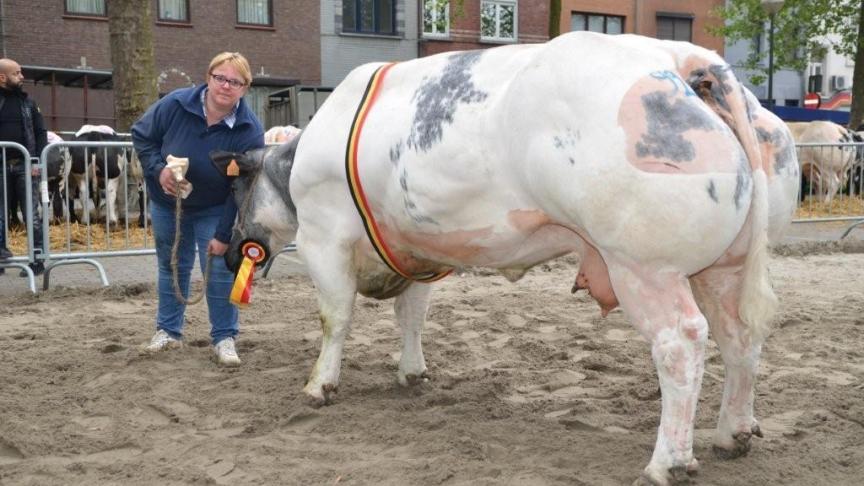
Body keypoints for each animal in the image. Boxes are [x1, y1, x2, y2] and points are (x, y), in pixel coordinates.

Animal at [212, 32, 799, 485]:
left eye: (237, 188)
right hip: (723, 267)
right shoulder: (419, 247)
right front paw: (412, 374)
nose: (232, 247)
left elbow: (334, 318)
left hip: (645, 265)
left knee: (681, 344)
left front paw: (318, 386)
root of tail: (686, 59)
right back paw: (732, 433)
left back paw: (667, 462)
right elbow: (412, 316)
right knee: (740, 337)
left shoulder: (324, 236)